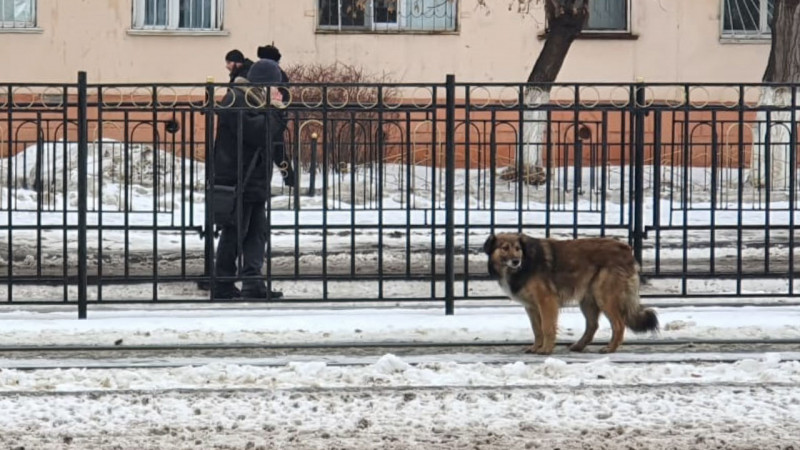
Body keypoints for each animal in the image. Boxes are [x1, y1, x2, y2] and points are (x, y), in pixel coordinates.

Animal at [484, 232, 660, 356]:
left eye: (518, 249)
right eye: (504, 248)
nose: (516, 261)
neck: (526, 262)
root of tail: (626, 249)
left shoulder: (546, 301)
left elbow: (547, 327)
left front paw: (546, 349)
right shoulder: (531, 307)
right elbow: (537, 329)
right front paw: (536, 347)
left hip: (604, 297)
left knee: (619, 324)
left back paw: (610, 348)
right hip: (588, 300)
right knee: (592, 325)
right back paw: (579, 346)